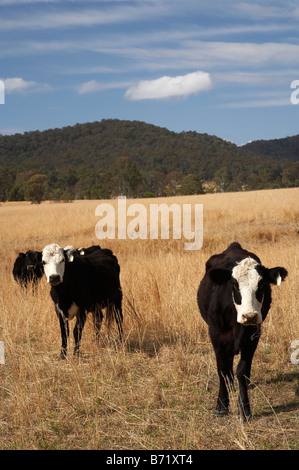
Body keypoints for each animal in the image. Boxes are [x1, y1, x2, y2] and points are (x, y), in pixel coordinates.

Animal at [197, 242, 288, 422]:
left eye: (262, 284)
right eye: (234, 284)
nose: (250, 316)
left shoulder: (253, 336)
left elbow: (242, 370)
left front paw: (245, 409)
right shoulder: (216, 335)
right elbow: (222, 370)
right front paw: (221, 406)